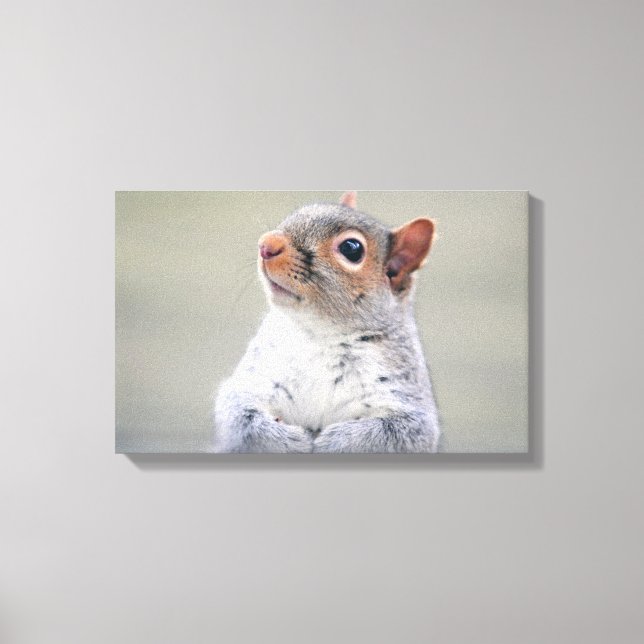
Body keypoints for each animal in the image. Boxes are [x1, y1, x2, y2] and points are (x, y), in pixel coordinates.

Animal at [213, 192, 441, 453]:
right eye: (297, 212)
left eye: (351, 248)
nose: (266, 245)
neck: (319, 333)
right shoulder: (253, 380)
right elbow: (240, 415)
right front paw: (288, 440)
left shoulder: (407, 400)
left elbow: (395, 433)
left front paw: (336, 442)